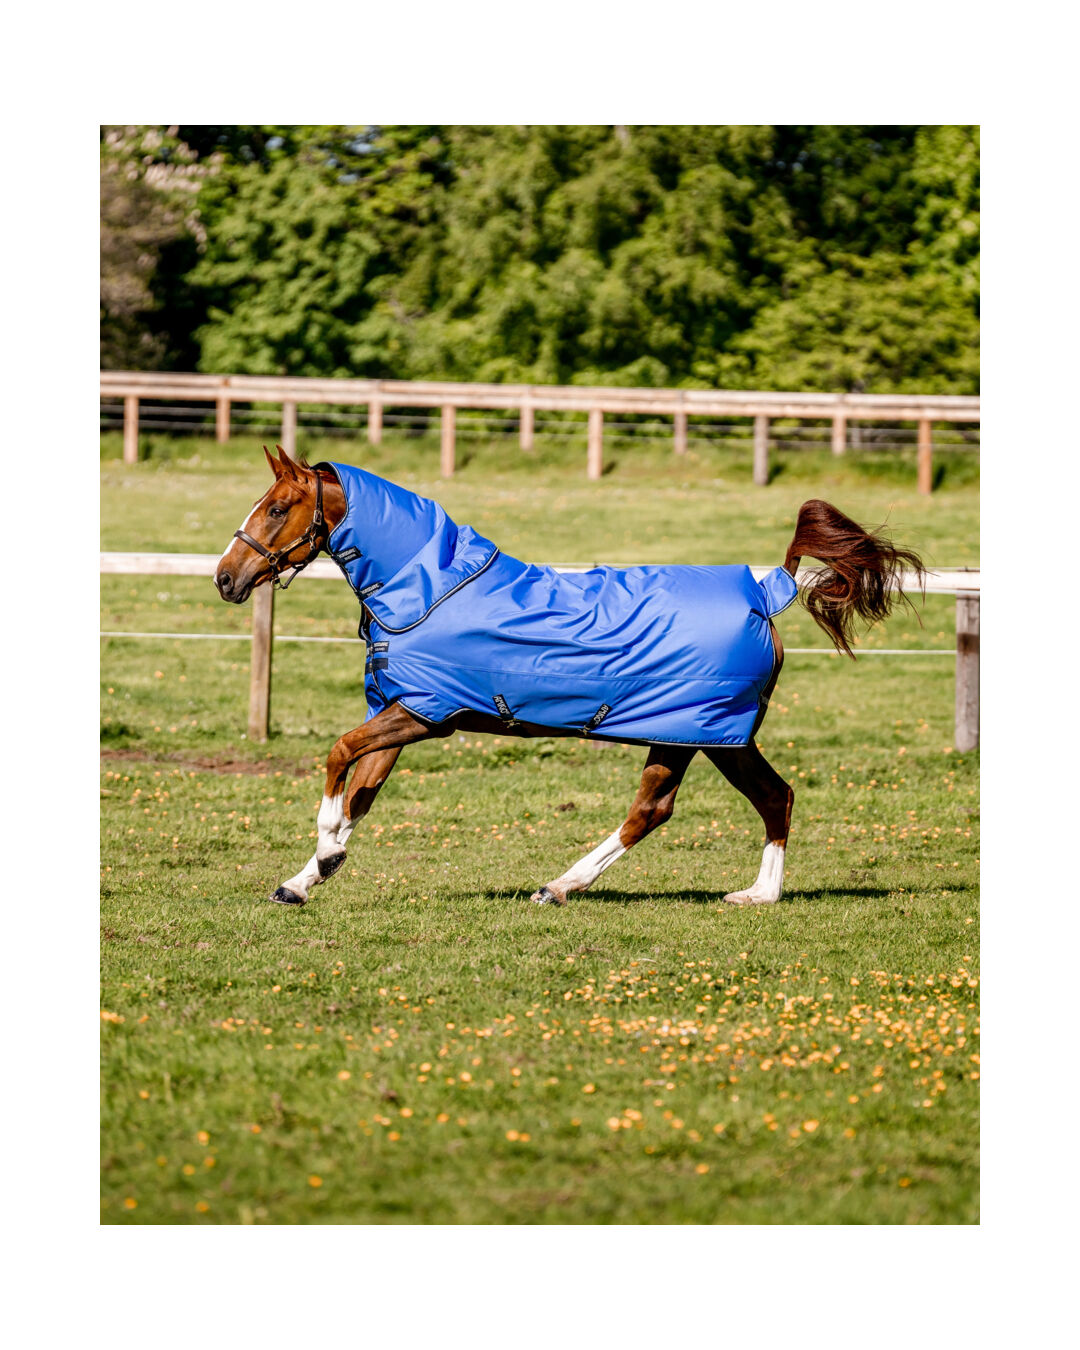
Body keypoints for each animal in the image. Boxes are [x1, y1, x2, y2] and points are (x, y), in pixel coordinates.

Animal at [215, 446, 923, 909]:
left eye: (278, 507)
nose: (226, 578)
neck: (429, 589)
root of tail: (768, 590)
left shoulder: (423, 713)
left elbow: (339, 757)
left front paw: (325, 849)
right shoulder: (401, 710)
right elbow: (362, 789)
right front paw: (307, 877)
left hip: (702, 733)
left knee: (669, 808)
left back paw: (562, 887)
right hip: (707, 736)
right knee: (756, 799)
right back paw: (753, 893)